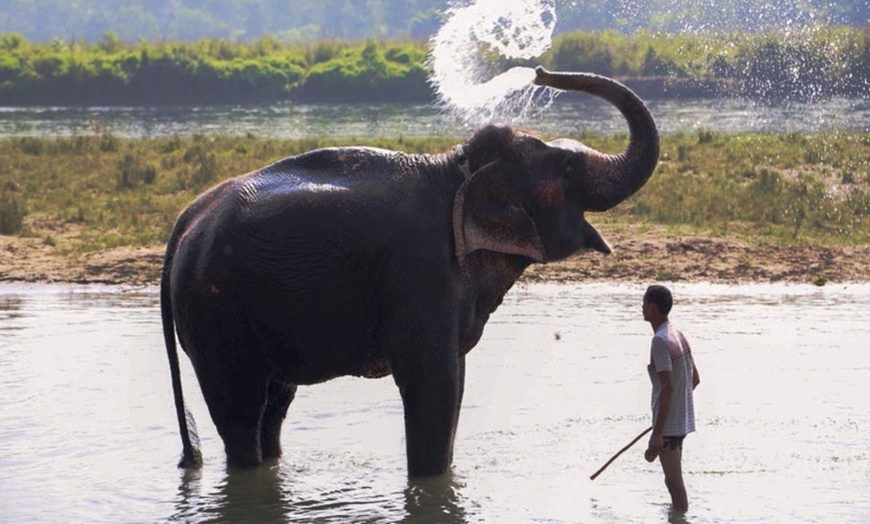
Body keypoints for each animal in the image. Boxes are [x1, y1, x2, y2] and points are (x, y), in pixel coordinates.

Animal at [160, 67, 656, 476]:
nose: (538, 71)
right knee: (240, 408)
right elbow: (434, 382)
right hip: (214, 312)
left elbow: (455, 383)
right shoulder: (422, 272)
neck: (457, 169)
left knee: (274, 404)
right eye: (569, 165)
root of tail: (185, 221)